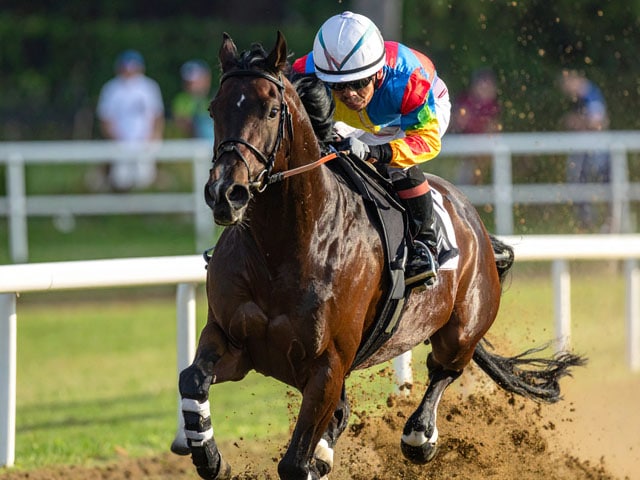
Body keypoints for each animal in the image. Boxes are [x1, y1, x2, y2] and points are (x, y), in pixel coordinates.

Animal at [171, 32, 585, 480]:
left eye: (271, 110)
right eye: (214, 108)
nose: (225, 193)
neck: (280, 249)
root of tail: (473, 219)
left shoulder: (328, 366)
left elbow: (295, 463)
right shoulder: (233, 339)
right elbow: (192, 378)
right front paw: (209, 455)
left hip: (462, 327)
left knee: (444, 369)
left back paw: (421, 435)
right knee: (344, 412)